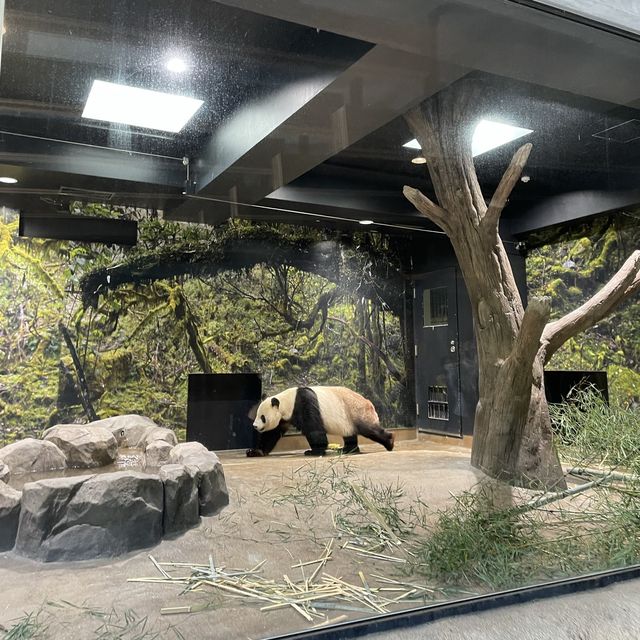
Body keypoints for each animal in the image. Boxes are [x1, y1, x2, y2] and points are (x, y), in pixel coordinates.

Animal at [246, 388, 392, 458]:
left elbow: (314, 429)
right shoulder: (283, 418)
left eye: (263, 417)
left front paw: (314, 451)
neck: (287, 401)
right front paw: (255, 451)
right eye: (257, 415)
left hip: (356, 412)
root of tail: (369, 402)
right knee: (349, 434)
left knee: (370, 429)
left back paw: (389, 442)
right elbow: (271, 433)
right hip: (348, 419)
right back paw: (348, 449)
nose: (255, 426)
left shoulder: (304, 403)